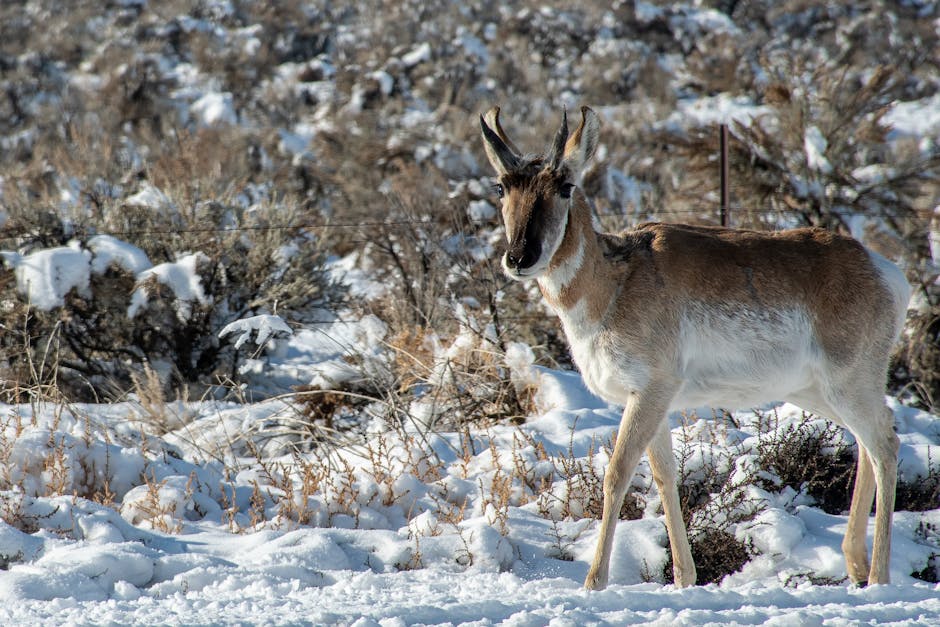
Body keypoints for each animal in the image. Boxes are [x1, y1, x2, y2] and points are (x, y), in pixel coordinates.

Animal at [482, 105, 908, 592]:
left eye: (565, 186)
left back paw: (878, 576)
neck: (615, 281)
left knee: (885, 444)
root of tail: (884, 270)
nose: (519, 257)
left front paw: (594, 582)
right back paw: (855, 565)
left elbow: (617, 474)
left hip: (849, 385)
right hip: (817, 393)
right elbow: (665, 477)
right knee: (868, 443)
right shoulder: (654, 402)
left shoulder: (651, 391)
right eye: (502, 187)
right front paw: (685, 579)